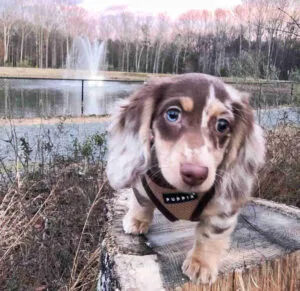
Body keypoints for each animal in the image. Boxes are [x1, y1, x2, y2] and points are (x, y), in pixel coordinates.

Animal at [106, 73, 264, 286]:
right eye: (173, 114)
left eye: (222, 125)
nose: (195, 174)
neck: (176, 193)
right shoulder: (142, 184)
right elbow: (141, 202)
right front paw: (136, 220)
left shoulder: (224, 211)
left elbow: (211, 235)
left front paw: (201, 264)